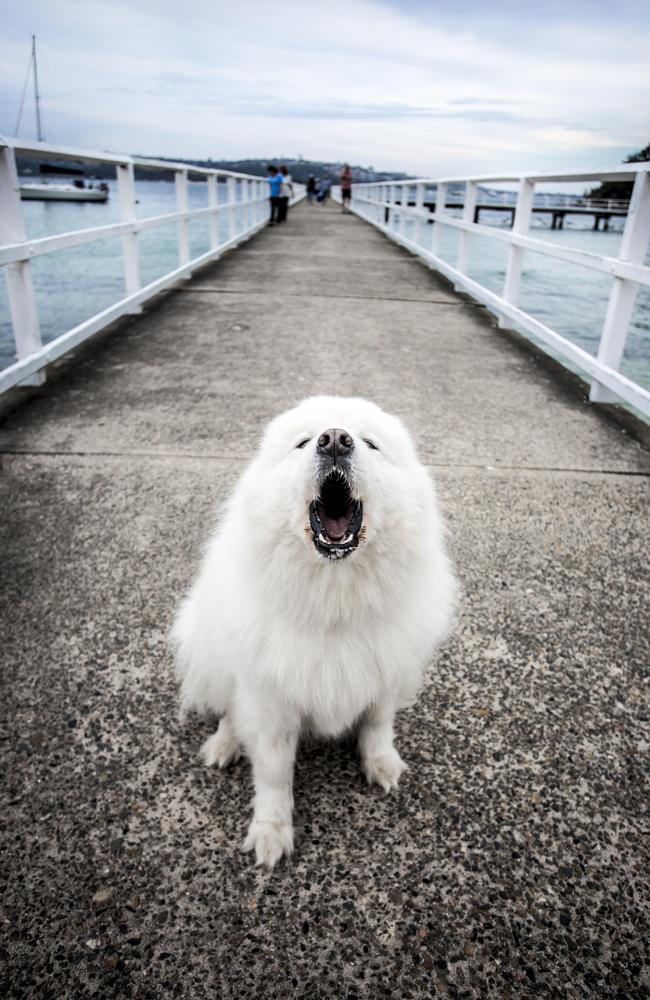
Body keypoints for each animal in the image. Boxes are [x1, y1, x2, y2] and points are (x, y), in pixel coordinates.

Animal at [172, 396, 456, 868]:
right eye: (303, 442)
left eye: (371, 444)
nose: (336, 439)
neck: (333, 603)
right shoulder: (270, 700)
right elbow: (272, 774)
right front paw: (271, 832)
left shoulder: (386, 672)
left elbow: (377, 724)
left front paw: (381, 763)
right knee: (229, 709)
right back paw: (224, 745)